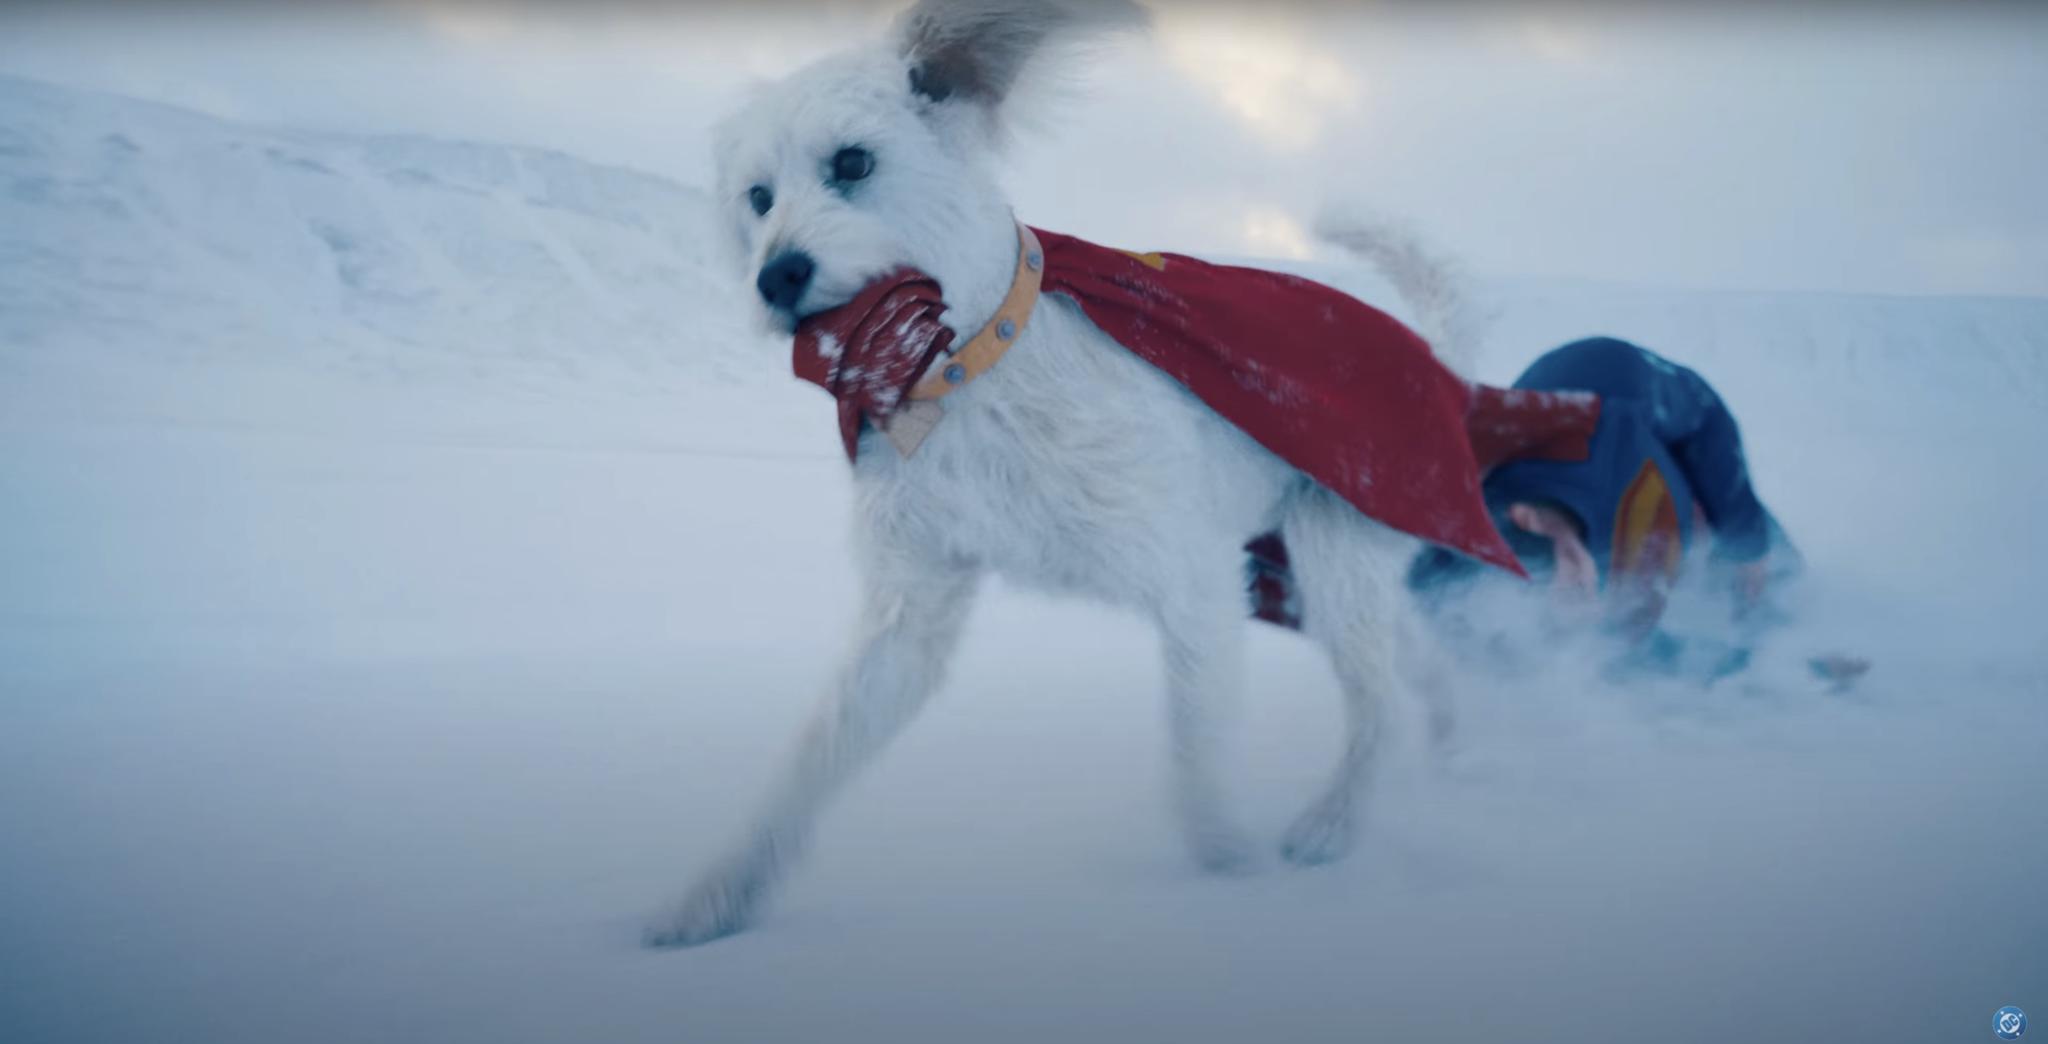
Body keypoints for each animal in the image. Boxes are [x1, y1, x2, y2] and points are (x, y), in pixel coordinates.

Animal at [647, 0, 1466, 945]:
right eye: (758, 197)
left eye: (851, 162)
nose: (776, 277)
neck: (957, 373)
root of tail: (1431, 355)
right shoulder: (911, 607)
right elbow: (814, 756)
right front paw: (720, 893)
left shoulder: (1193, 576)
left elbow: (1195, 742)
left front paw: (1230, 868)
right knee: (1414, 668)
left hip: (1335, 559)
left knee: (1380, 705)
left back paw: (1334, 823)